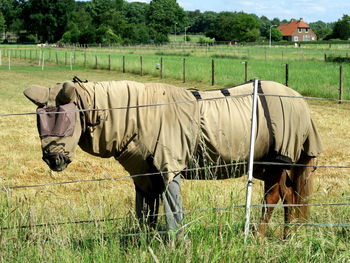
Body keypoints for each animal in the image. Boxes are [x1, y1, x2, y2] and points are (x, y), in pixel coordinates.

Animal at [22, 78, 322, 239]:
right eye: (38, 120)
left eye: (67, 119)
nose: (53, 159)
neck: (138, 114)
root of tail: (299, 100)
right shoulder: (144, 174)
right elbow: (146, 212)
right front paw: (143, 242)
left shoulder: (168, 170)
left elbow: (171, 211)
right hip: (269, 165)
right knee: (290, 197)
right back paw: (288, 236)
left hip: (276, 162)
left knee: (273, 198)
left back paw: (259, 236)